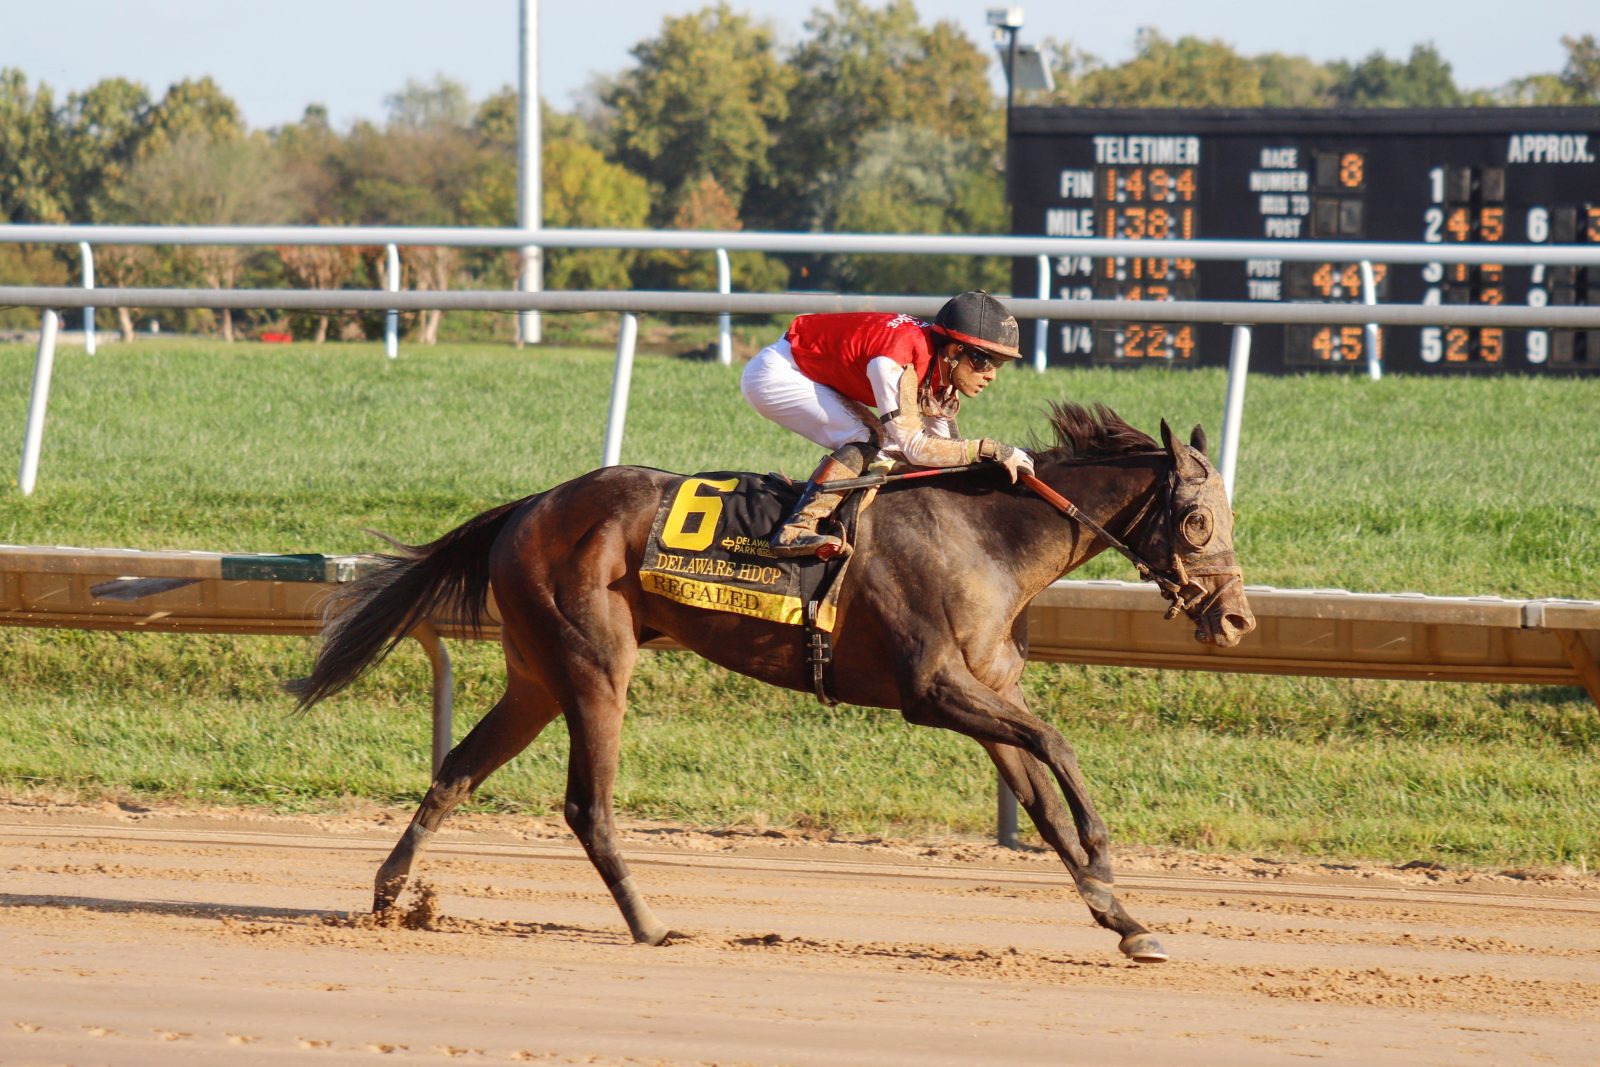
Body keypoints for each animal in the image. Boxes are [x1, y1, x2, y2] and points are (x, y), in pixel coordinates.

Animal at [291, 402, 1255, 963]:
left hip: (535, 676)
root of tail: (527, 504)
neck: (986, 535)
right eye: (1198, 520)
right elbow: (1058, 747)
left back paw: (390, 895)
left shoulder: (986, 693)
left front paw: (1123, 917)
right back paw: (649, 923)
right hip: (593, 665)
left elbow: (1042, 799)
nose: (1239, 618)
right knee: (586, 804)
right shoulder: (931, 691)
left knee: (456, 770)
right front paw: (1106, 858)